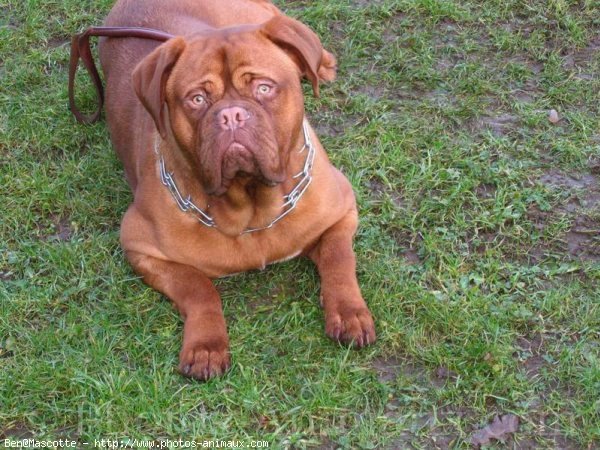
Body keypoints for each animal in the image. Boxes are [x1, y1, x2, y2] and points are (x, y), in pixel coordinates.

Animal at [99, 0, 378, 380]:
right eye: (197, 99)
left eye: (264, 88)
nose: (231, 115)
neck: (252, 207)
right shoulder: (142, 248)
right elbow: (198, 288)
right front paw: (205, 346)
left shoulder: (341, 210)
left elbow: (339, 257)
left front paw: (349, 312)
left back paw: (321, 64)